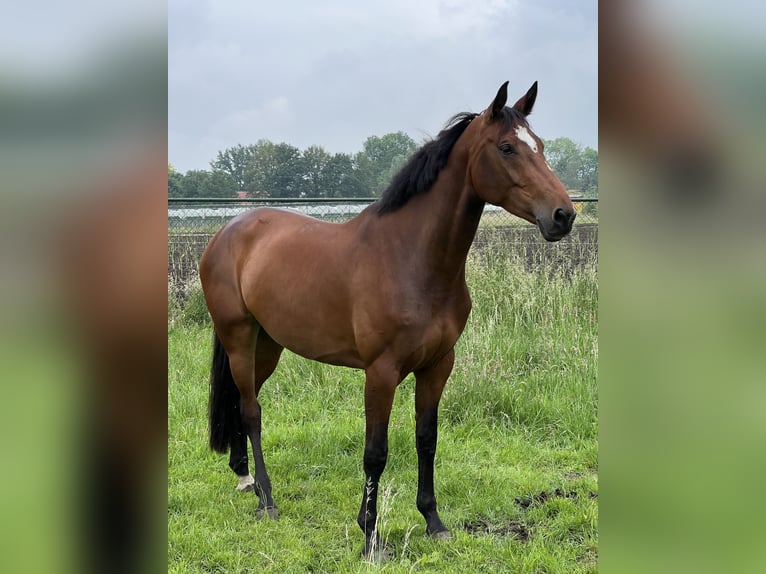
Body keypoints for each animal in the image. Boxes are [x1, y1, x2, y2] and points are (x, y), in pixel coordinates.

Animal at [200, 83, 576, 560]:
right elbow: (375, 453)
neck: (411, 258)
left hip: (266, 345)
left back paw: (243, 477)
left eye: (540, 146)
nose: (564, 216)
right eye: (507, 147)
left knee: (239, 400)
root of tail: (227, 232)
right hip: (238, 337)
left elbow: (426, 439)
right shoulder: (380, 372)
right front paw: (370, 536)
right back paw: (267, 498)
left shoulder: (438, 365)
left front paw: (434, 521)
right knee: (250, 411)